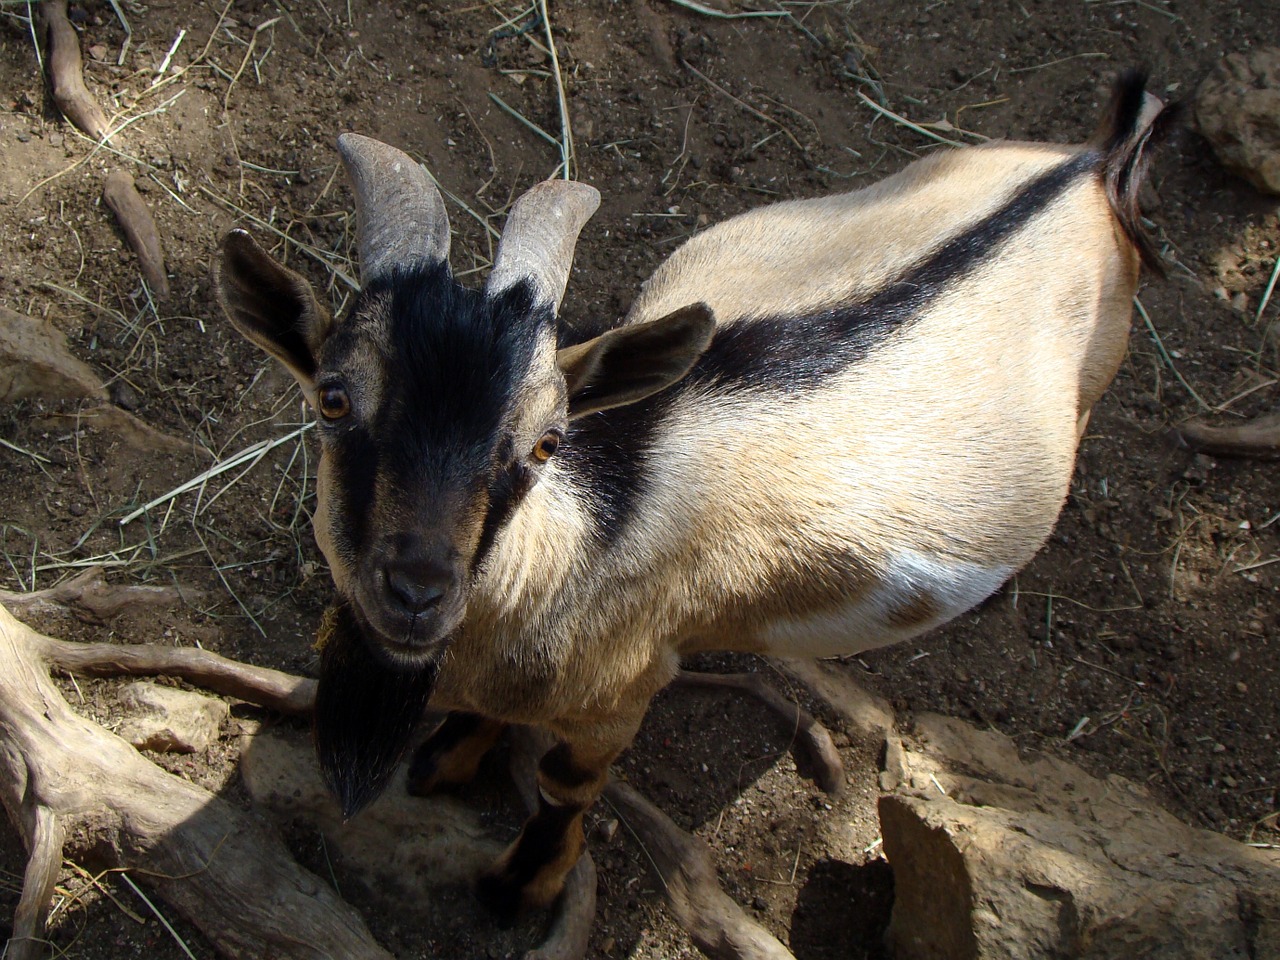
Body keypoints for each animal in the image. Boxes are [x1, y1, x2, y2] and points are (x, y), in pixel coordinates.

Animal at [217, 73, 1172, 916]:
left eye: (547, 441)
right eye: (332, 399)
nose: (416, 591)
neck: (578, 539)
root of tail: (1088, 169)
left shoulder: (625, 691)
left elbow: (567, 784)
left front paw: (517, 890)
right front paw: (449, 759)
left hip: (1101, 368)